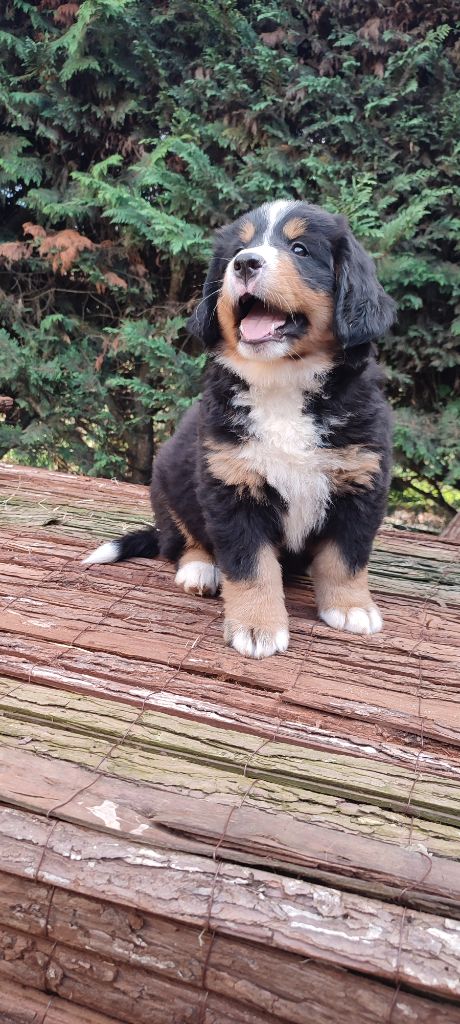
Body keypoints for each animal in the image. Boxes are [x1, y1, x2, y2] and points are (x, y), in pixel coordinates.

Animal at [84, 200, 396, 659]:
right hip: (169, 481)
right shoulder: (231, 484)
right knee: (180, 539)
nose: (245, 263)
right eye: (238, 249)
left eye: (300, 249)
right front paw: (257, 627)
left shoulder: (360, 479)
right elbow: (251, 566)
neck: (282, 381)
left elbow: (346, 555)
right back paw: (199, 569)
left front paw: (350, 608)